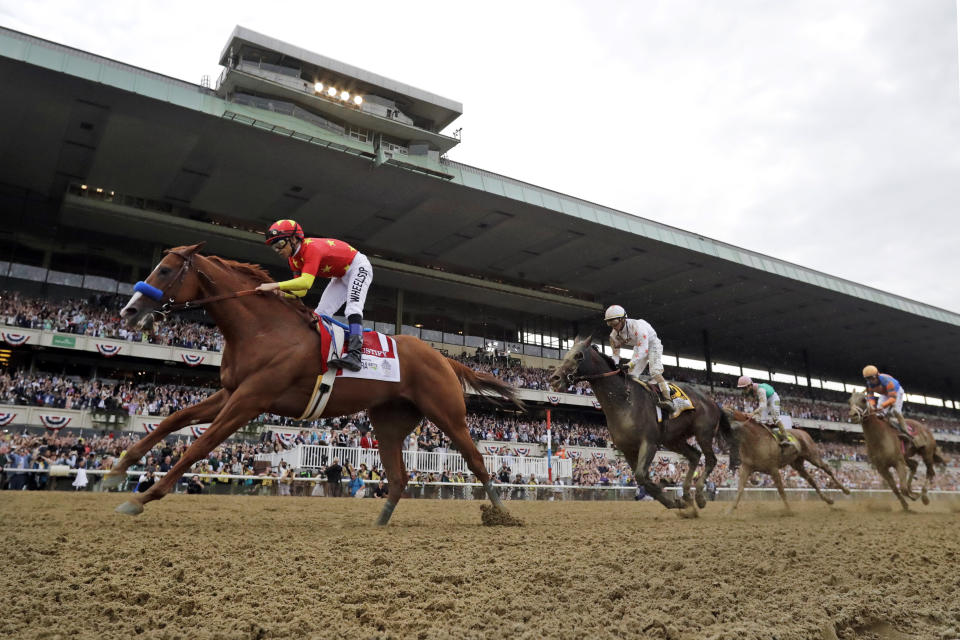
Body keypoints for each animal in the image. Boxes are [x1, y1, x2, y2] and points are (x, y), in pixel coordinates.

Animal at [101, 245, 520, 524]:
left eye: (165, 271)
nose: (130, 310)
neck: (264, 329)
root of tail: (442, 357)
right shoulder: (231, 392)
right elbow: (175, 419)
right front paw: (118, 470)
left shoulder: (251, 399)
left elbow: (200, 445)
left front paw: (143, 497)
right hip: (388, 421)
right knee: (399, 477)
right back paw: (380, 521)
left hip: (447, 413)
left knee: (476, 460)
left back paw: (503, 513)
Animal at [548, 338, 736, 512]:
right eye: (566, 354)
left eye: (578, 355)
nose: (554, 378)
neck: (624, 402)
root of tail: (713, 401)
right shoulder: (627, 450)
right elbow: (642, 479)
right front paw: (670, 494)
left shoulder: (649, 443)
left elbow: (641, 476)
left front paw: (668, 490)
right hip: (673, 440)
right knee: (695, 456)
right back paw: (687, 495)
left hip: (703, 433)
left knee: (710, 460)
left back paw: (699, 497)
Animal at [724, 412, 852, 512]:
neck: (754, 440)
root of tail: (803, 432)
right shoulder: (746, 467)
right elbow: (740, 489)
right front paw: (730, 510)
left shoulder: (773, 469)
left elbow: (781, 490)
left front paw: (789, 510)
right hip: (797, 464)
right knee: (811, 480)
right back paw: (829, 500)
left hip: (813, 456)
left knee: (827, 469)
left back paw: (845, 490)